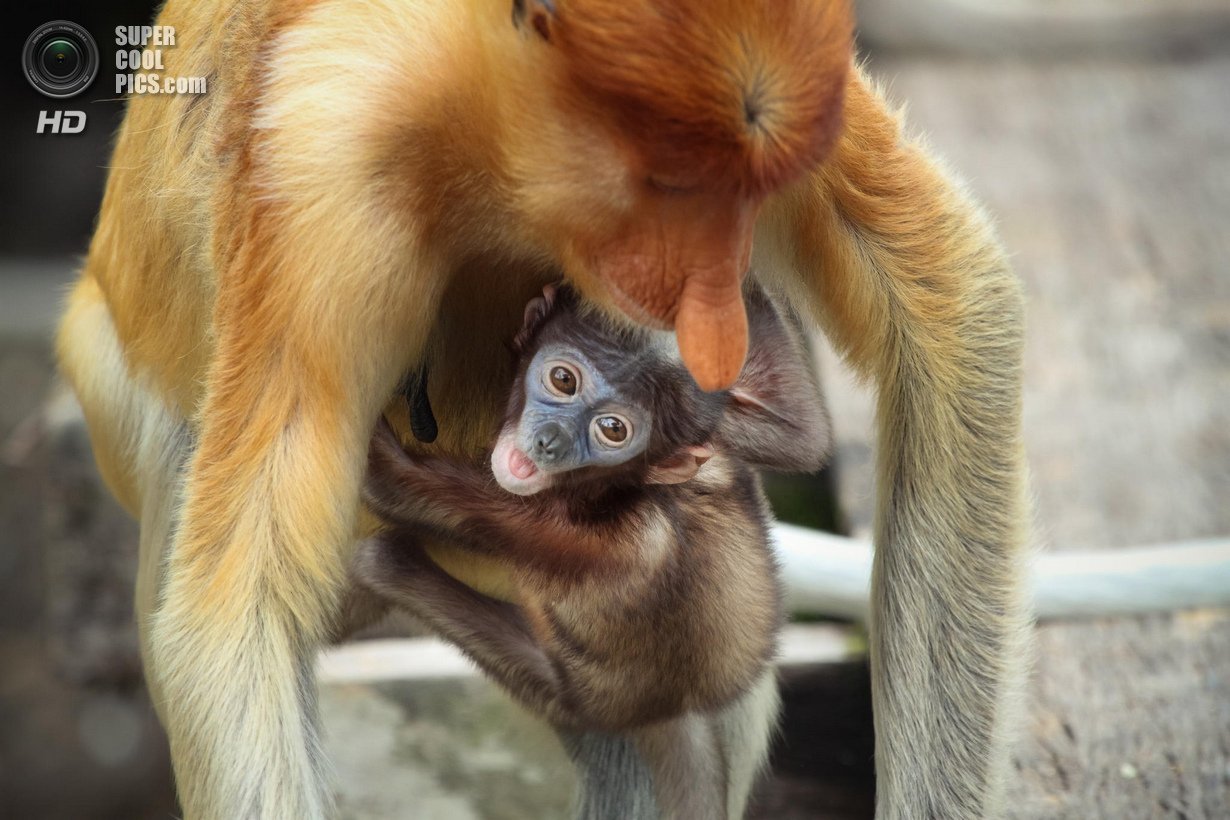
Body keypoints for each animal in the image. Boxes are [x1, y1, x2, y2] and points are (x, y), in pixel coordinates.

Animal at [56, 0, 1028, 817]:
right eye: (676, 186)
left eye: (748, 194)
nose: (714, 294)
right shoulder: (320, 174)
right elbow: (240, 606)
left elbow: (949, 308)